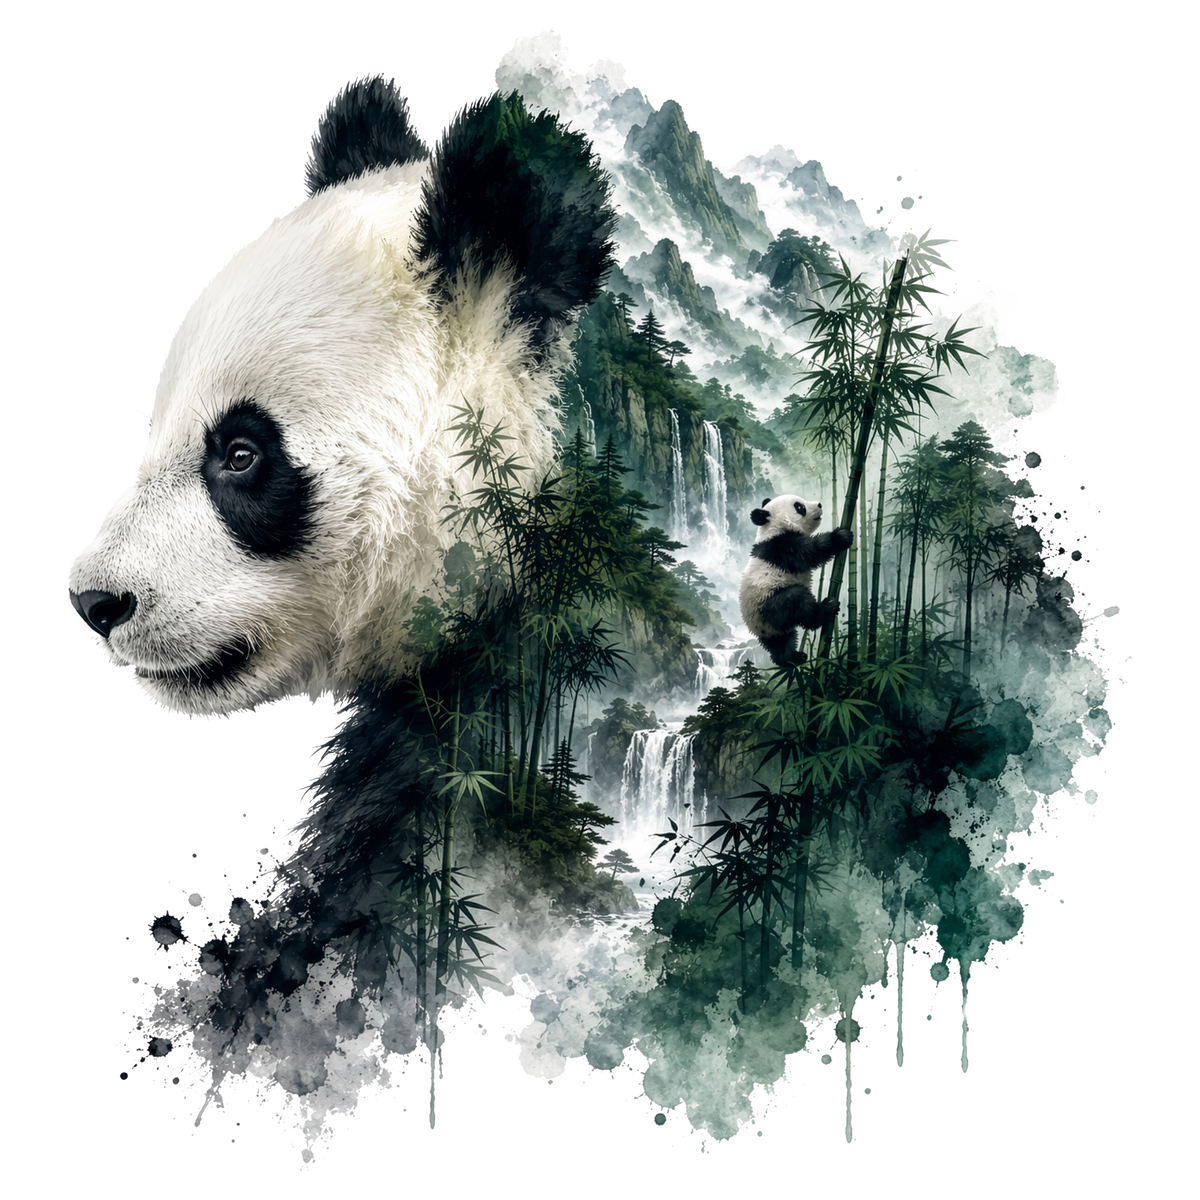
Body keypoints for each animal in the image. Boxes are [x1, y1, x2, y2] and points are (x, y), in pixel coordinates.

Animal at [738, 495, 853, 665]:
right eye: (800, 507)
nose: (819, 504)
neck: (772, 528)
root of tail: (761, 628)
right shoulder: (782, 547)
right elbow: (809, 552)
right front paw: (841, 537)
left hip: (774, 628)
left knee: (783, 641)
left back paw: (790, 658)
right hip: (769, 603)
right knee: (797, 600)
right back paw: (826, 608)